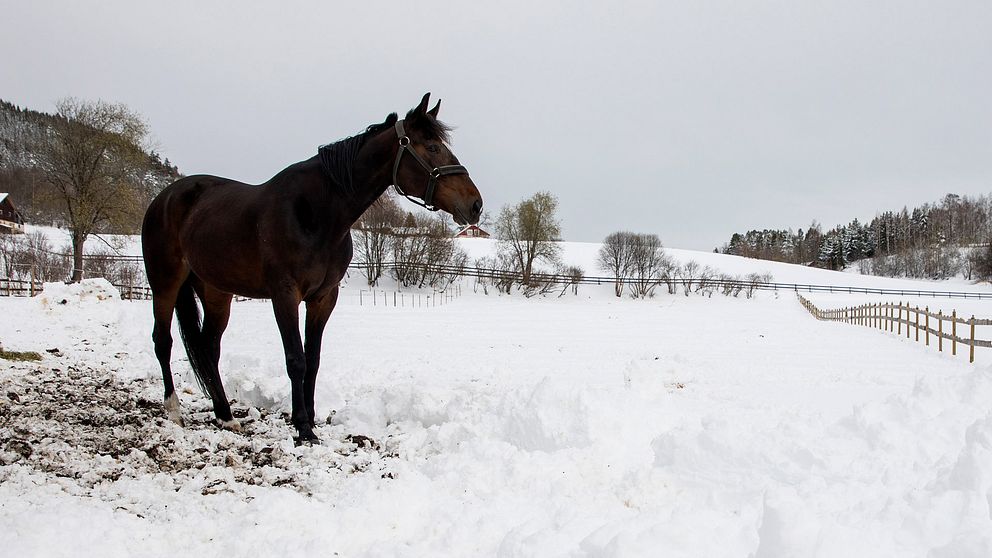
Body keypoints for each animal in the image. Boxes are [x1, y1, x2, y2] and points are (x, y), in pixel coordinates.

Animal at [140, 96, 480, 446]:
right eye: (432, 147)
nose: (475, 204)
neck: (316, 214)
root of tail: (165, 197)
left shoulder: (323, 297)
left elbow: (313, 359)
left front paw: (312, 419)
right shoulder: (285, 294)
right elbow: (296, 359)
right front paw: (303, 427)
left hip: (216, 291)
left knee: (209, 348)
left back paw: (225, 415)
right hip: (165, 281)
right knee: (163, 340)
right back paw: (174, 409)